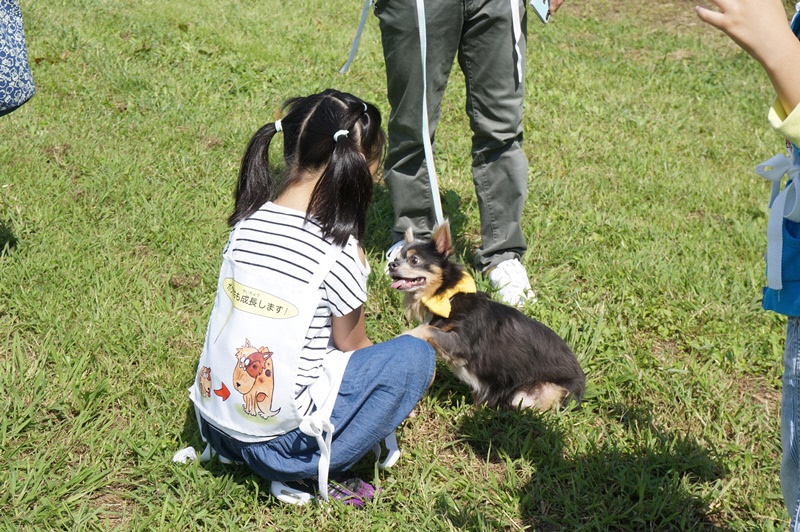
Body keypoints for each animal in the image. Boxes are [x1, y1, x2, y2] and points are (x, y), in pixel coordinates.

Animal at [390, 220, 588, 412]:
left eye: (414, 260)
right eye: (397, 258)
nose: (391, 265)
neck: (448, 297)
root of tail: (581, 393)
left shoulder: (461, 344)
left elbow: (426, 328)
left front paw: (402, 337)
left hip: (533, 394)